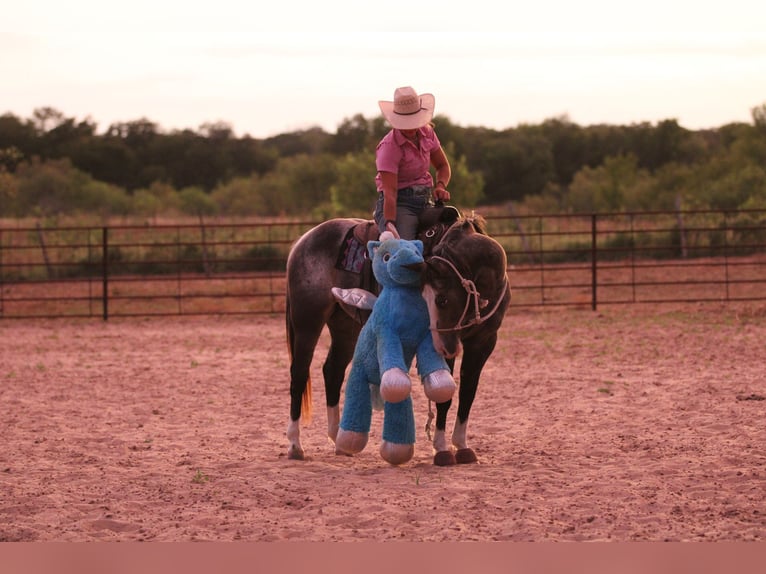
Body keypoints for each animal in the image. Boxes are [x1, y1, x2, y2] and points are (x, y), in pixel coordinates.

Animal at [284, 212, 512, 468]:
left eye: (442, 299)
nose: (445, 348)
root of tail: (303, 241)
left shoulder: (483, 343)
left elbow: (468, 393)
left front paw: (462, 446)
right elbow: (445, 397)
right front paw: (442, 449)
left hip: (345, 326)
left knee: (332, 371)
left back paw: (339, 441)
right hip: (308, 321)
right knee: (299, 375)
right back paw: (295, 445)